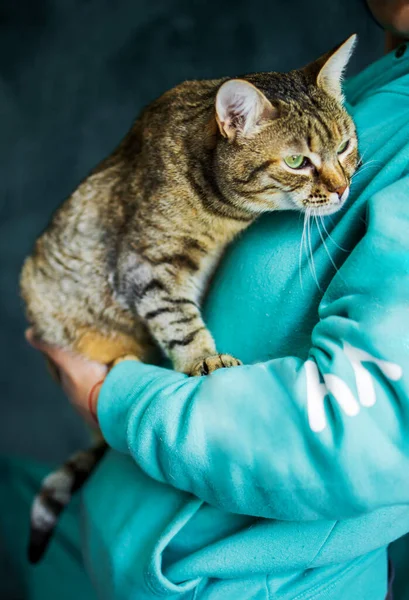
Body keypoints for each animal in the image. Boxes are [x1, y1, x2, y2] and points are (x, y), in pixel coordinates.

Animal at [19, 36, 356, 564]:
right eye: (297, 162)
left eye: (344, 146)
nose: (343, 188)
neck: (219, 206)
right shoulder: (147, 263)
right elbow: (178, 319)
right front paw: (204, 359)